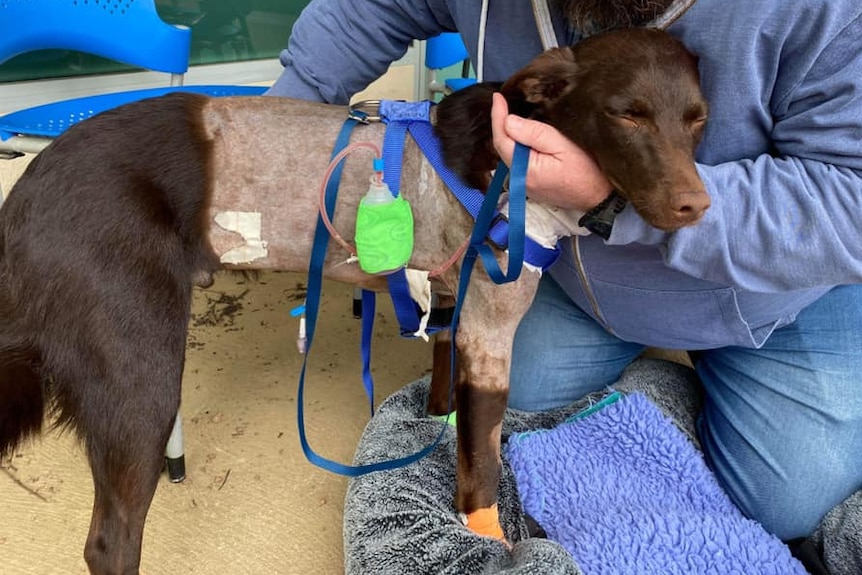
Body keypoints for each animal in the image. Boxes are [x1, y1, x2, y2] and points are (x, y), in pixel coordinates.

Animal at [0, 28, 704, 575]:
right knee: (110, 541)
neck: (513, 156)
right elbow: (480, 478)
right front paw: (492, 544)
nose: (696, 207)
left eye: (697, 119)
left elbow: (441, 398)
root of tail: (26, 191)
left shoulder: (447, 310)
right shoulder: (489, 340)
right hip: (139, 377)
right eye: (627, 114)